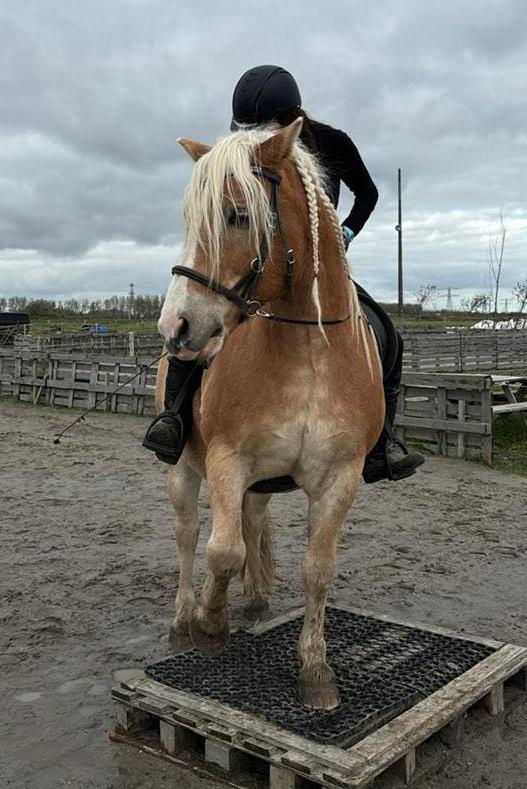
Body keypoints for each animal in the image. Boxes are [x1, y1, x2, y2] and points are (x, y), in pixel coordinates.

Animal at [155, 118, 384, 710]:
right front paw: (211, 624)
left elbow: (317, 570)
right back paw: (183, 619)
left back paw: (255, 599)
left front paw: (316, 670)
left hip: (261, 482)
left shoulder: (340, 477)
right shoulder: (226, 461)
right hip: (183, 469)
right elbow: (221, 550)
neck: (305, 356)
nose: (175, 328)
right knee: (188, 533)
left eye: (238, 215)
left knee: (252, 521)